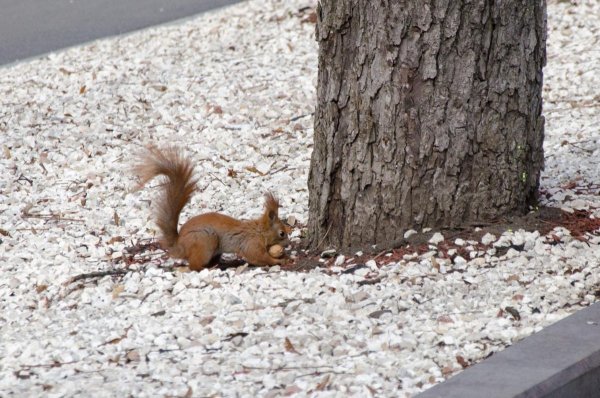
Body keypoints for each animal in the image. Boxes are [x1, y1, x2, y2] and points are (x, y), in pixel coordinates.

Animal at [135, 146, 290, 270]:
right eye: (282, 233)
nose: (288, 244)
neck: (259, 231)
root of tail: (180, 246)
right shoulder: (251, 244)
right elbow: (258, 257)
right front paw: (279, 261)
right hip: (205, 241)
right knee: (194, 266)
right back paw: (209, 268)